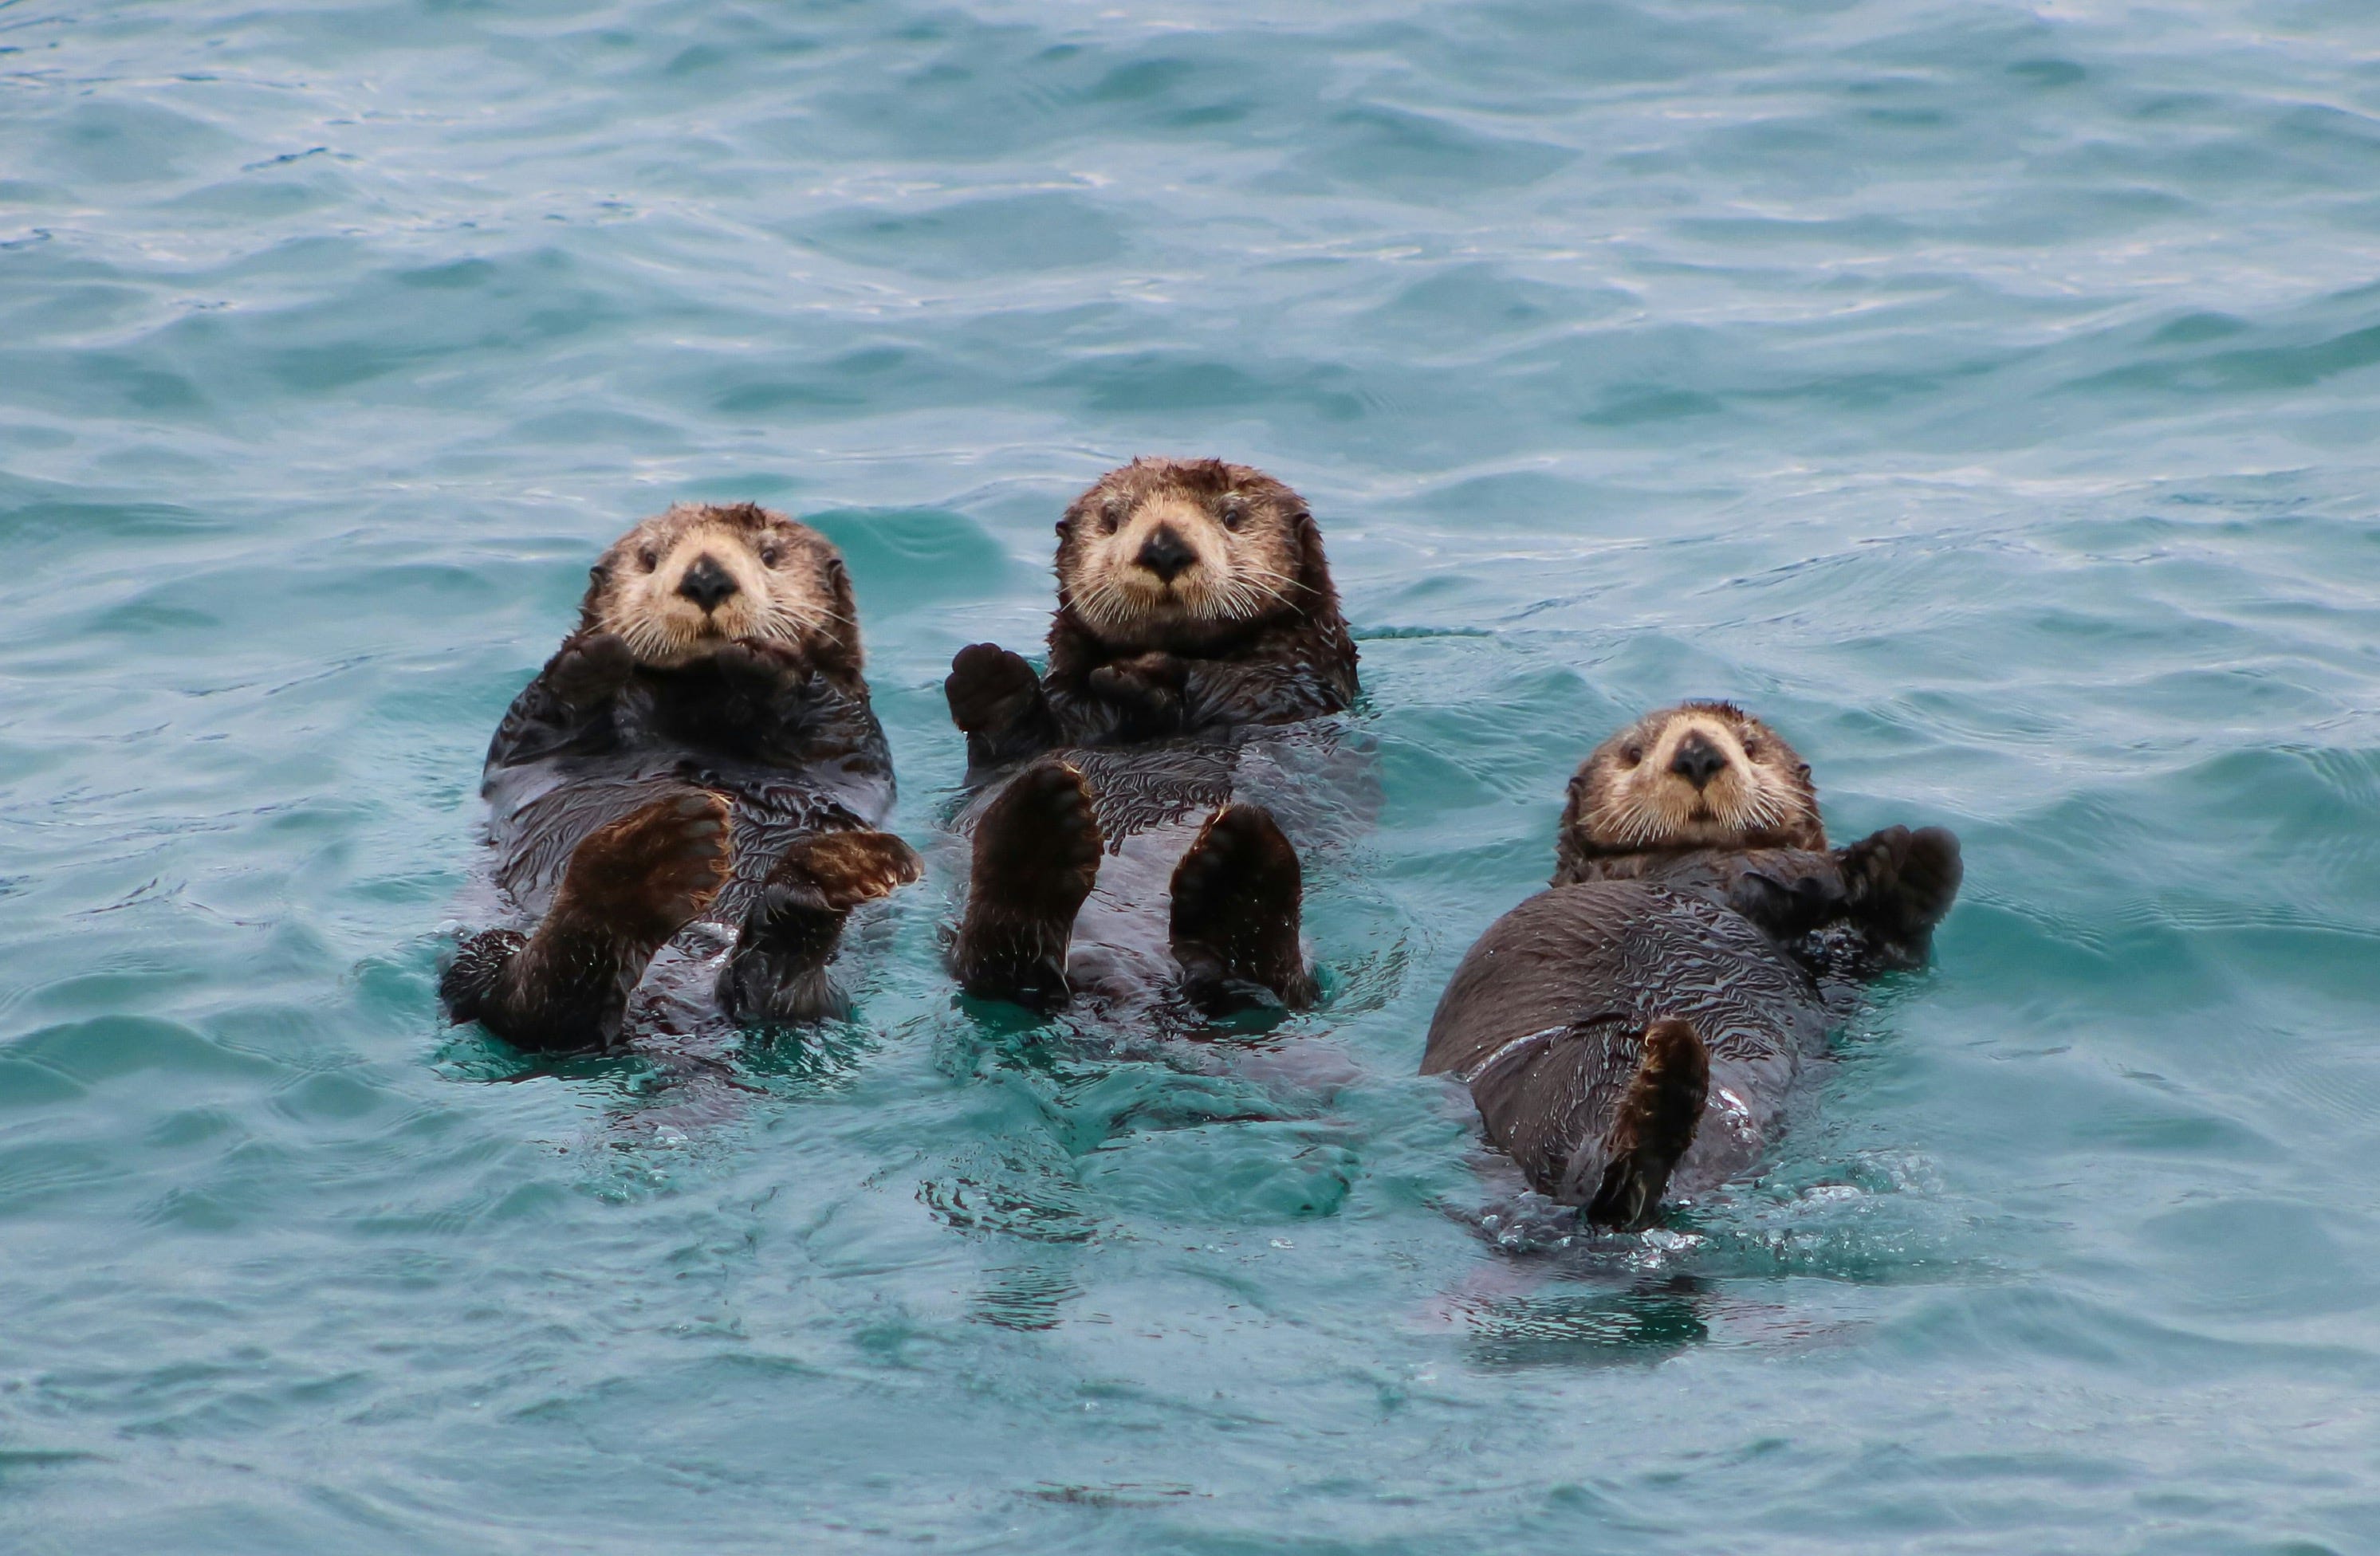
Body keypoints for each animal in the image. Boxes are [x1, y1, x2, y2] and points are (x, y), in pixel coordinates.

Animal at [439, 502, 920, 1052]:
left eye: (770, 554)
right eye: (650, 558)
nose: (706, 577)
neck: (697, 703)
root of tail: (676, 1004)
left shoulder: (853, 735)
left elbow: (830, 717)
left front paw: (763, 661)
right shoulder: (526, 739)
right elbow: (538, 719)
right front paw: (595, 654)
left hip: (828, 998)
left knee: (776, 996)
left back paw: (819, 877)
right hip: (481, 948)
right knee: (526, 1005)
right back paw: (649, 862)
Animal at [939, 457, 1360, 1013]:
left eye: (1231, 516)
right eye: (1112, 519)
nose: (1163, 547)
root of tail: (1125, 982)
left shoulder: (1295, 685)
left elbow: (1237, 685)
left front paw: (1141, 677)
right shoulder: (1056, 723)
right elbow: (1014, 740)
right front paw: (987, 674)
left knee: (1273, 987)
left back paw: (1239, 868)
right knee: (995, 965)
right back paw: (1039, 826)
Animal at [1420, 702, 1960, 1230]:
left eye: (1750, 746)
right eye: (1634, 753)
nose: (1697, 753)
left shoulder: (1838, 968)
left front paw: (1918, 866)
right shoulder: (1699, 872)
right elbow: (1772, 873)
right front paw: (1871, 860)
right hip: (1554, 1080)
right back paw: (1663, 1091)